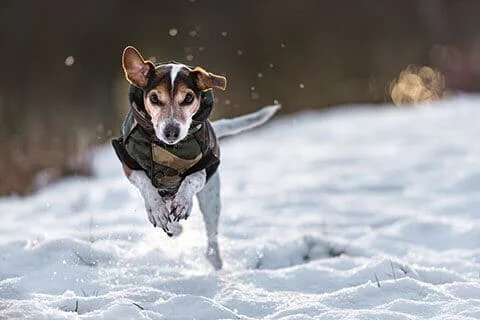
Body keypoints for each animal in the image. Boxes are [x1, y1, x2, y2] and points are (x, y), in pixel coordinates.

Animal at [112, 46, 278, 268]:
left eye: (188, 98)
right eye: (154, 98)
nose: (171, 132)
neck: (167, 148)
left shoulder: (205, 165)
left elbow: (192, 179)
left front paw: (183, 201)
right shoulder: (129, 165)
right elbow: (146, 184)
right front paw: (156, 209)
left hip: (211, 198)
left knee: (211, 236)